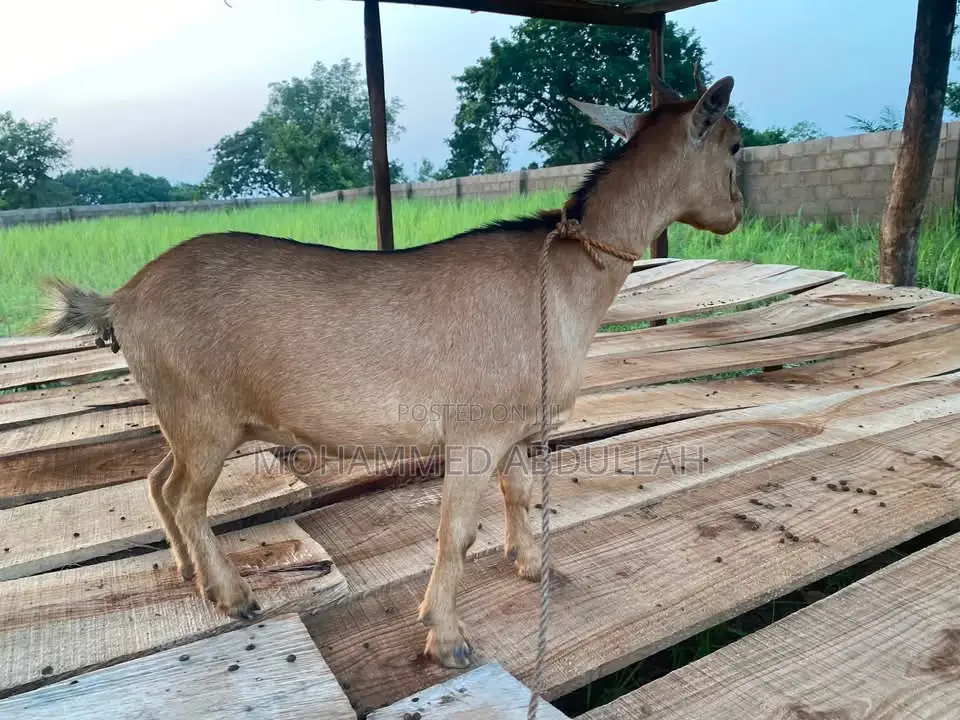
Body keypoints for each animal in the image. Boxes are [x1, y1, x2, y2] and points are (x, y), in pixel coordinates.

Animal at [35, 67, 743, 669]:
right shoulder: (476, 431)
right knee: (185, 498)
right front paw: (447, 637)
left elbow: (519, 493)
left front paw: (531, 563)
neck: (562, 277)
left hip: (184, 416)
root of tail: (123, 298)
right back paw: (233, 595)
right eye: (735, 144)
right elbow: (456, 533)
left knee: (159, 482)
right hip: (204, 418)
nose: (736, 214)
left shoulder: (511, 426)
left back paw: (193, 575)